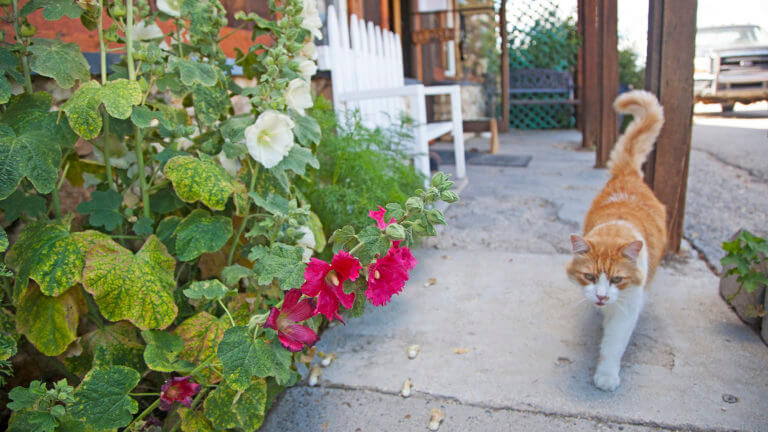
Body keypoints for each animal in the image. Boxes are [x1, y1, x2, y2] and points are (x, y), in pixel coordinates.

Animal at [564, 90, 664, 392]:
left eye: (617, 279)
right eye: (589, 276)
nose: (601, 296)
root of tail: (627, 176)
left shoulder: (627, 308)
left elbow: (613, 345)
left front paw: (606, 376)